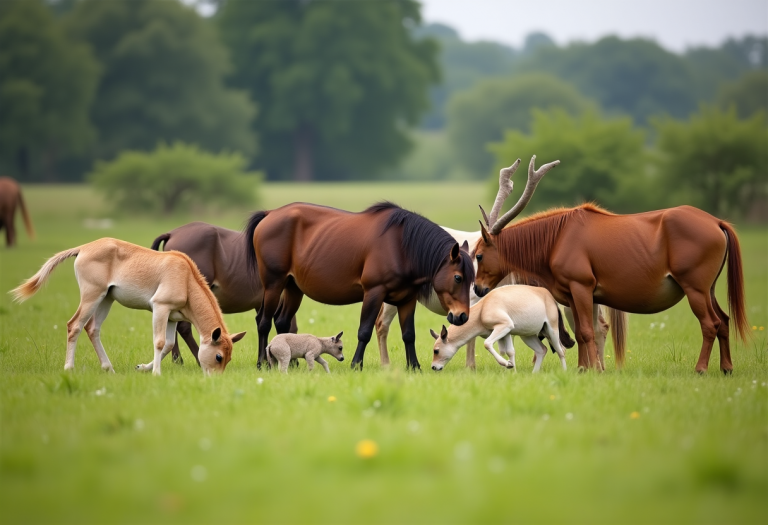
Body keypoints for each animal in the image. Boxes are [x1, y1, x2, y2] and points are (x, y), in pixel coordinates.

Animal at [11, 237, 246, 372]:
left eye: (229, 358)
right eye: (218, 356)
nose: (214, 380)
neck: (186, 277)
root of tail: (84, 248)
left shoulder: (171, 317)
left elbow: (169, 345)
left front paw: (142, 367)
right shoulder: (160, 308)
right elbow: (160, 342)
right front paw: (156, 373)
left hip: (106, 299)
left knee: (92, 328)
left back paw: (108, 368)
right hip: (92, 296)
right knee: (74, 325)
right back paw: (69, 368)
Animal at [246, 200, 474, 368]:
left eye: (471, 279)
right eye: (458, 278)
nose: (462, 317)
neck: (400, 246)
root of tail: (269, 214)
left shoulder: (407, 300)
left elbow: (409, 335)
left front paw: (414, 367)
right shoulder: (374, 293)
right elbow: (364, 331)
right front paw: (356, 364)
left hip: (294, 288)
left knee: (282, 321)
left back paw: (292, 363)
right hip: (274, 284)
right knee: (263, 322)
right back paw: (262, 363)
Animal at [472, 156, 748, 372]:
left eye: (478, 255)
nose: (476, 288)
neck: (556, 239)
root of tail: (717, 222)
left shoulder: (581, 286)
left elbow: (587, 331)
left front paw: (592, 368)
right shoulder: (576, 294)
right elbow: (584, 331)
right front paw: (584, 368)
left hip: (695, 287)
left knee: (710, 323)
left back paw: (701, 369)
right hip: (709, 288)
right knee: (724, 320)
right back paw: (727, 367)